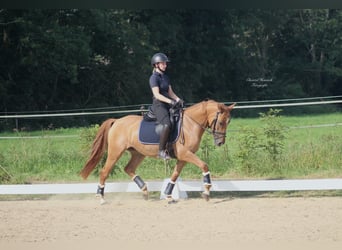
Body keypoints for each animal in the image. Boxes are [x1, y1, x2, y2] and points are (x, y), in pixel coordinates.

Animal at [80, 99, 235, 203]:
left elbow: (175, 175)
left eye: (228, 122)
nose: (220, 143)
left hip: (138, 153)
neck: (190, 124)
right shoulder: (185, 154)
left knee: (128, 168)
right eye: (221, 122)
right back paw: (101, 197)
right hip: (115, 152)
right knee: (104, 172)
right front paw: (207, 190)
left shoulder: (183, 157)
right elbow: (204, 165)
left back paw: (144, 191)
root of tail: (117, 121)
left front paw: (168, 195)